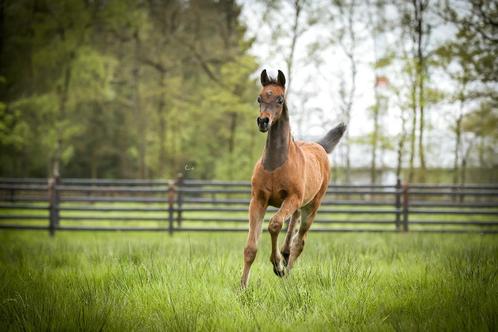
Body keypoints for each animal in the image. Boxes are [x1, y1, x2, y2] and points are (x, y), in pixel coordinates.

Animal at [241, 69, 346, 288]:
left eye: (280, 99)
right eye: (259, 98)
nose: (263, 121)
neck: (275, 164)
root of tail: (320, 146)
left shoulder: (291, 198)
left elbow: (274, 224)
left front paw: (277, 265)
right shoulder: (258, 200)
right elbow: (251, 248)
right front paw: (242, 287)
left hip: (311, 206)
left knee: (300, 241)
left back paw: (286, 273)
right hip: (299, 206)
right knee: (292, 229)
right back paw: (285, 256)